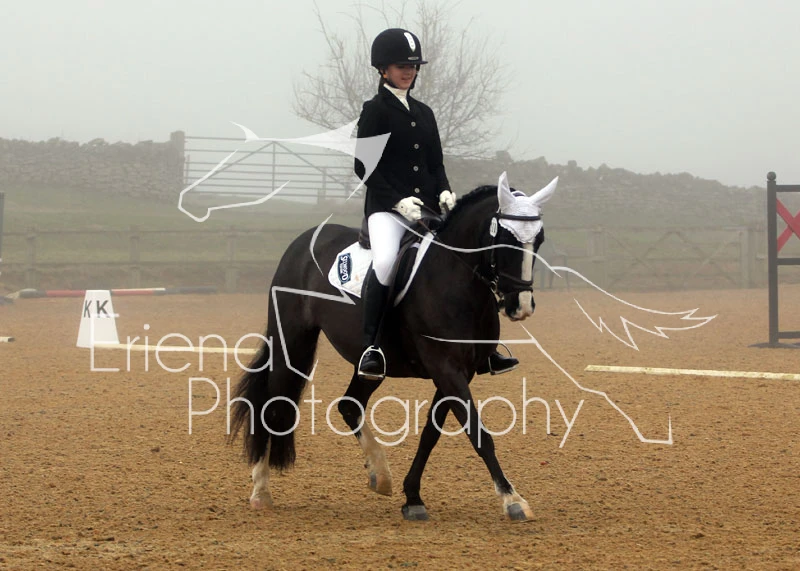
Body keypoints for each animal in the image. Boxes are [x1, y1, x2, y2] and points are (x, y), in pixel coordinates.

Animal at [229, 172, 557, 521]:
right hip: (290, 341)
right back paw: (261, 490)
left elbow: (431, 434)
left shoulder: (458, 373)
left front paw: (412, 497)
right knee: (272, 403)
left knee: (349, 404)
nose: (520, 306)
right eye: (505, 239)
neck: (454, 280)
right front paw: (512, 500)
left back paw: (380, 474)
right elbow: (477, 432)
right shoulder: (446, 368)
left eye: (539, 240)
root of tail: (302, 242)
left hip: (369, 363)